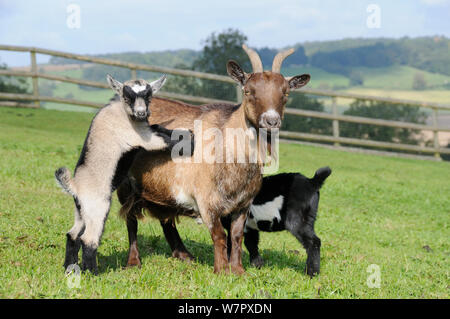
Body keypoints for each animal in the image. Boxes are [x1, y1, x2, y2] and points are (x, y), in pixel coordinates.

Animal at [118, 45, 312, 276]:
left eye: (285, 93)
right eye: (248, 91)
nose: (271, 121)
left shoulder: (243, 203)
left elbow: (236, 235)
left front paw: (238, 270)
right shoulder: (205, 199)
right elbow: (219, 234)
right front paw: (221, 270)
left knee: (166, 219)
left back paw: (184, 255)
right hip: (125, 184)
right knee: (131, 220)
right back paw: (133, 261)